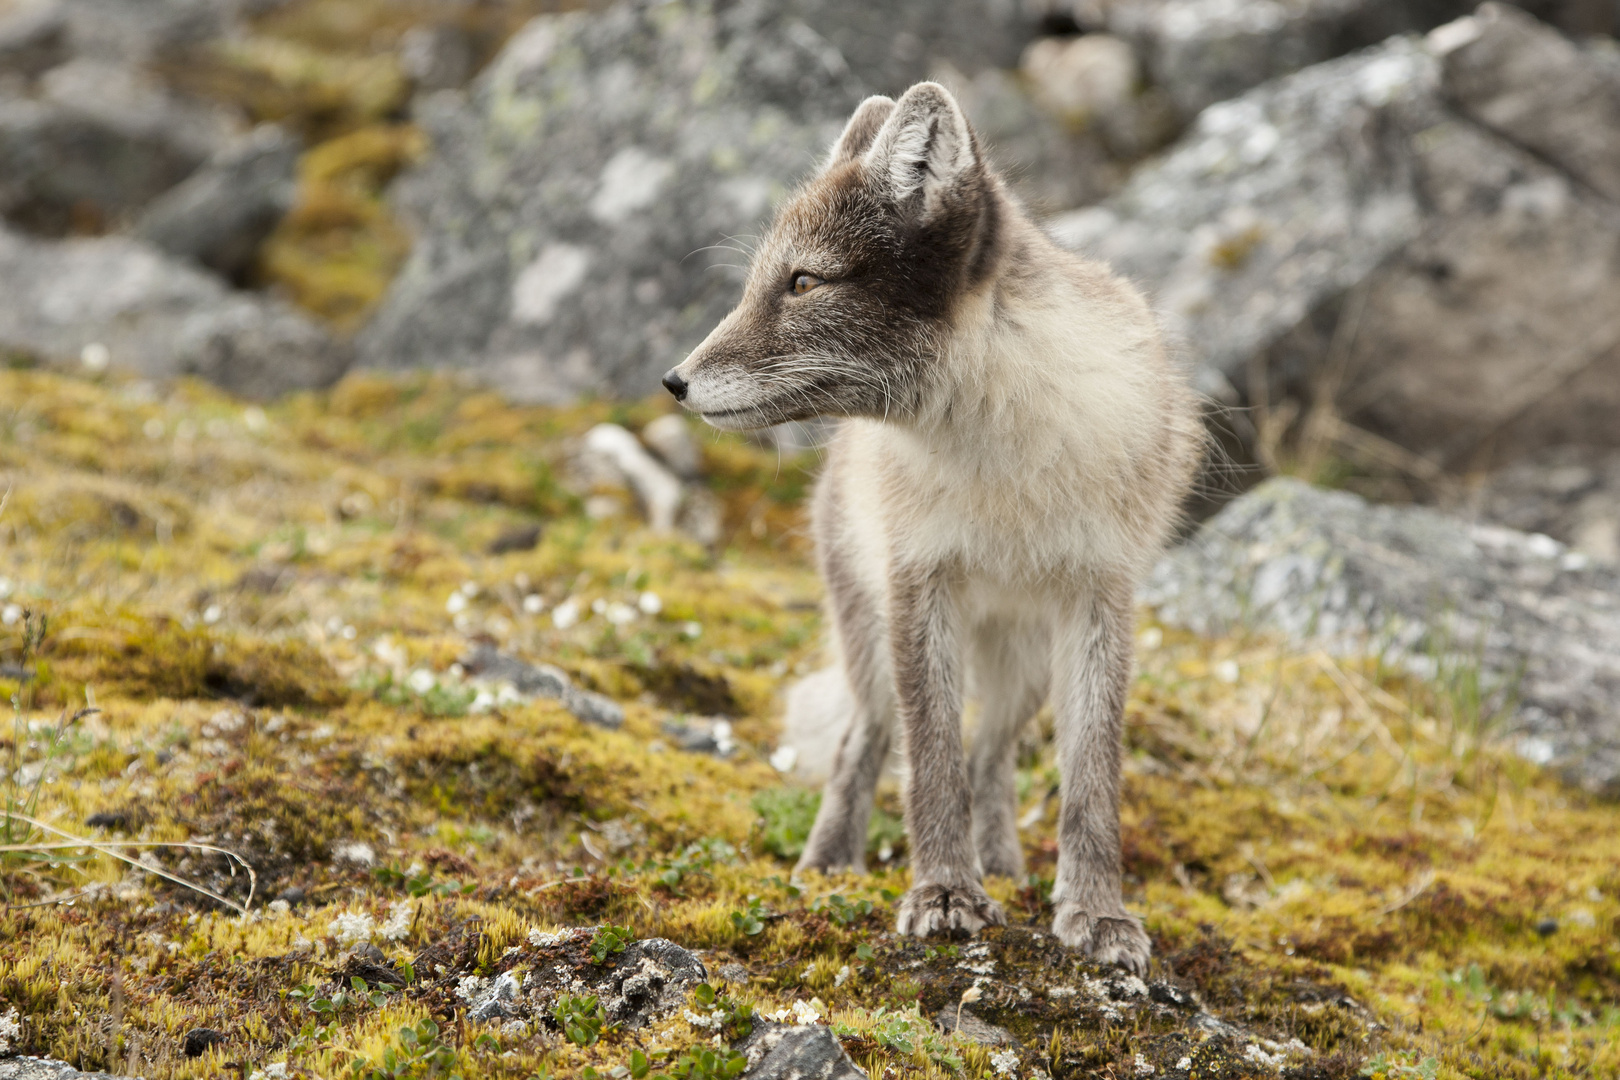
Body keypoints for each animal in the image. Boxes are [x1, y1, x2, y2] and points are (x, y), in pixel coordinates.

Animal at [660, 80, 1205, 965]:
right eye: (765, 280)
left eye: (803, 281)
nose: (672, 381)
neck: (1004, 454)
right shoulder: (920, 582)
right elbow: (931, 760)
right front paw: (944, 892)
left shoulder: (1101, 594)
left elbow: (1090, 777)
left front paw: (1096, 913)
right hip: (873, 638)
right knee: (867, 740)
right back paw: (828, 864)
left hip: (1024, 664)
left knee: (993, 755)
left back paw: (1007, 866)